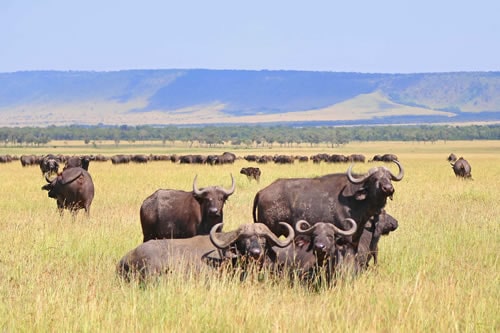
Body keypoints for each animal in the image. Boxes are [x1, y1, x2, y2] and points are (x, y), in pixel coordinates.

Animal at [252, 160, 404, 248]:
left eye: (389, 178)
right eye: (374, 179)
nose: (388, 188)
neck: (355, 200)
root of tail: (261, 192)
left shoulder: (357, 235)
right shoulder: (346, 235)